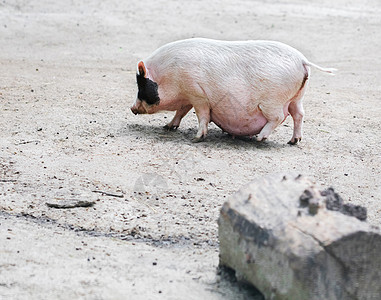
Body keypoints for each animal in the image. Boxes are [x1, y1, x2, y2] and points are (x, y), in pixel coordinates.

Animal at [131, 38, 336, 144]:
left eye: (141, 85)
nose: (132, 108)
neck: (169, 75)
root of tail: (302, 60)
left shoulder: (197, 93)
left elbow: (201, 115)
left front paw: (196, 139)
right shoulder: (189, 96)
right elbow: (181, 111)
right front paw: (168, 127)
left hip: (272, 101)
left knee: (278, 117)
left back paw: (260, 138)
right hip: (297, 97)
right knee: (299, 114)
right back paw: (293, 141)